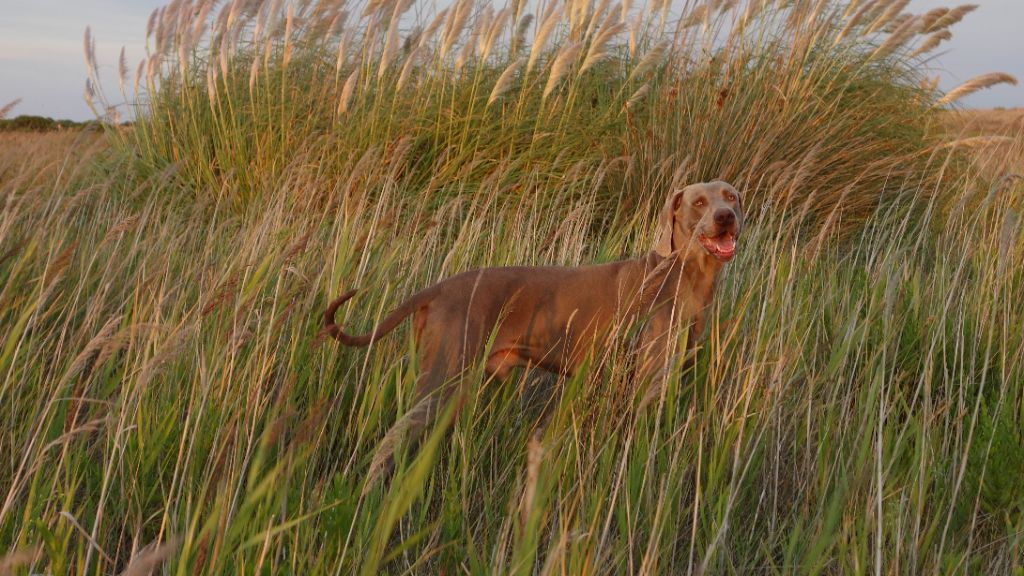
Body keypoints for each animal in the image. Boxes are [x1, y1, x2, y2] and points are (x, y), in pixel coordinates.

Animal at [325, 181, 745, 477]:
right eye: (699, 202)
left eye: (731, 196)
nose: (726, 216)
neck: (682, 276)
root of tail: (439, 287)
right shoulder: (646, 381)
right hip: (443, 377)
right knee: (391, 438)